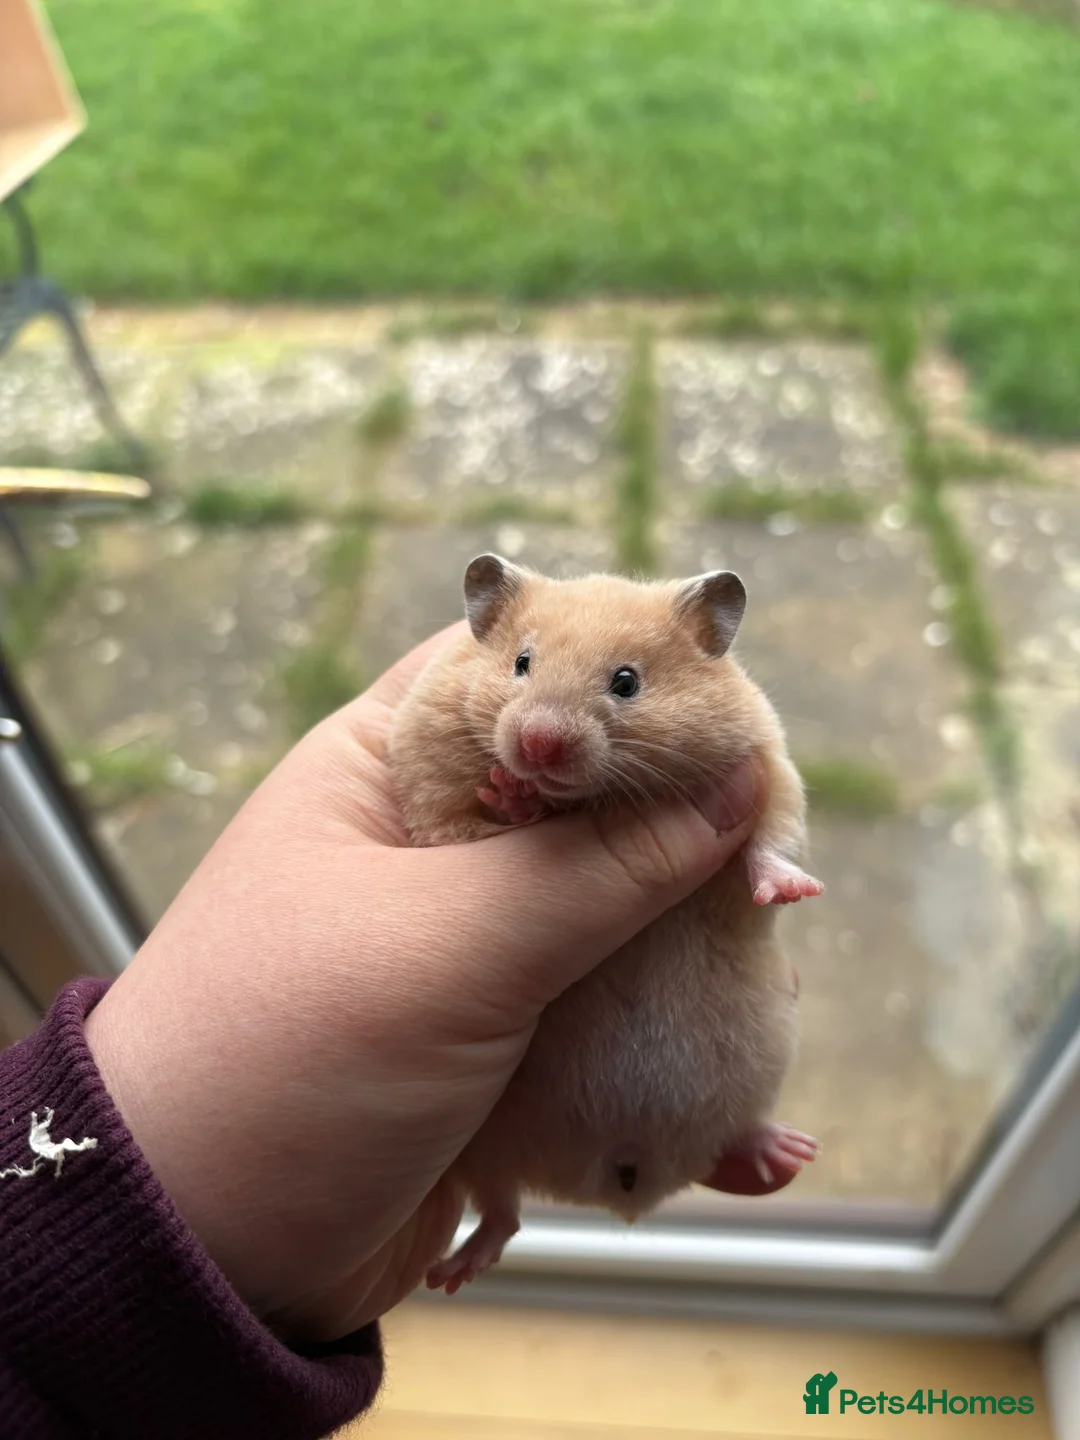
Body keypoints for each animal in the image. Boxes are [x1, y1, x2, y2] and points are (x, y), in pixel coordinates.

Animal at [387, 553, 823, 1294]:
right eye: (521, 662)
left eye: (626, 682)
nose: (537, 745)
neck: (594, 798)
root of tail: (613, 1189)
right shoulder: (435, 806)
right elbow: (477, 823)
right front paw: (514, 794)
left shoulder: (765, 766)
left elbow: (771, 840)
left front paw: (792, 892)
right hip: (480, 1150)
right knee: (502, 1214)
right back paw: (453, 1272)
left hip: (757, 1073)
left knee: (740, 1130)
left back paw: (788, 1151)